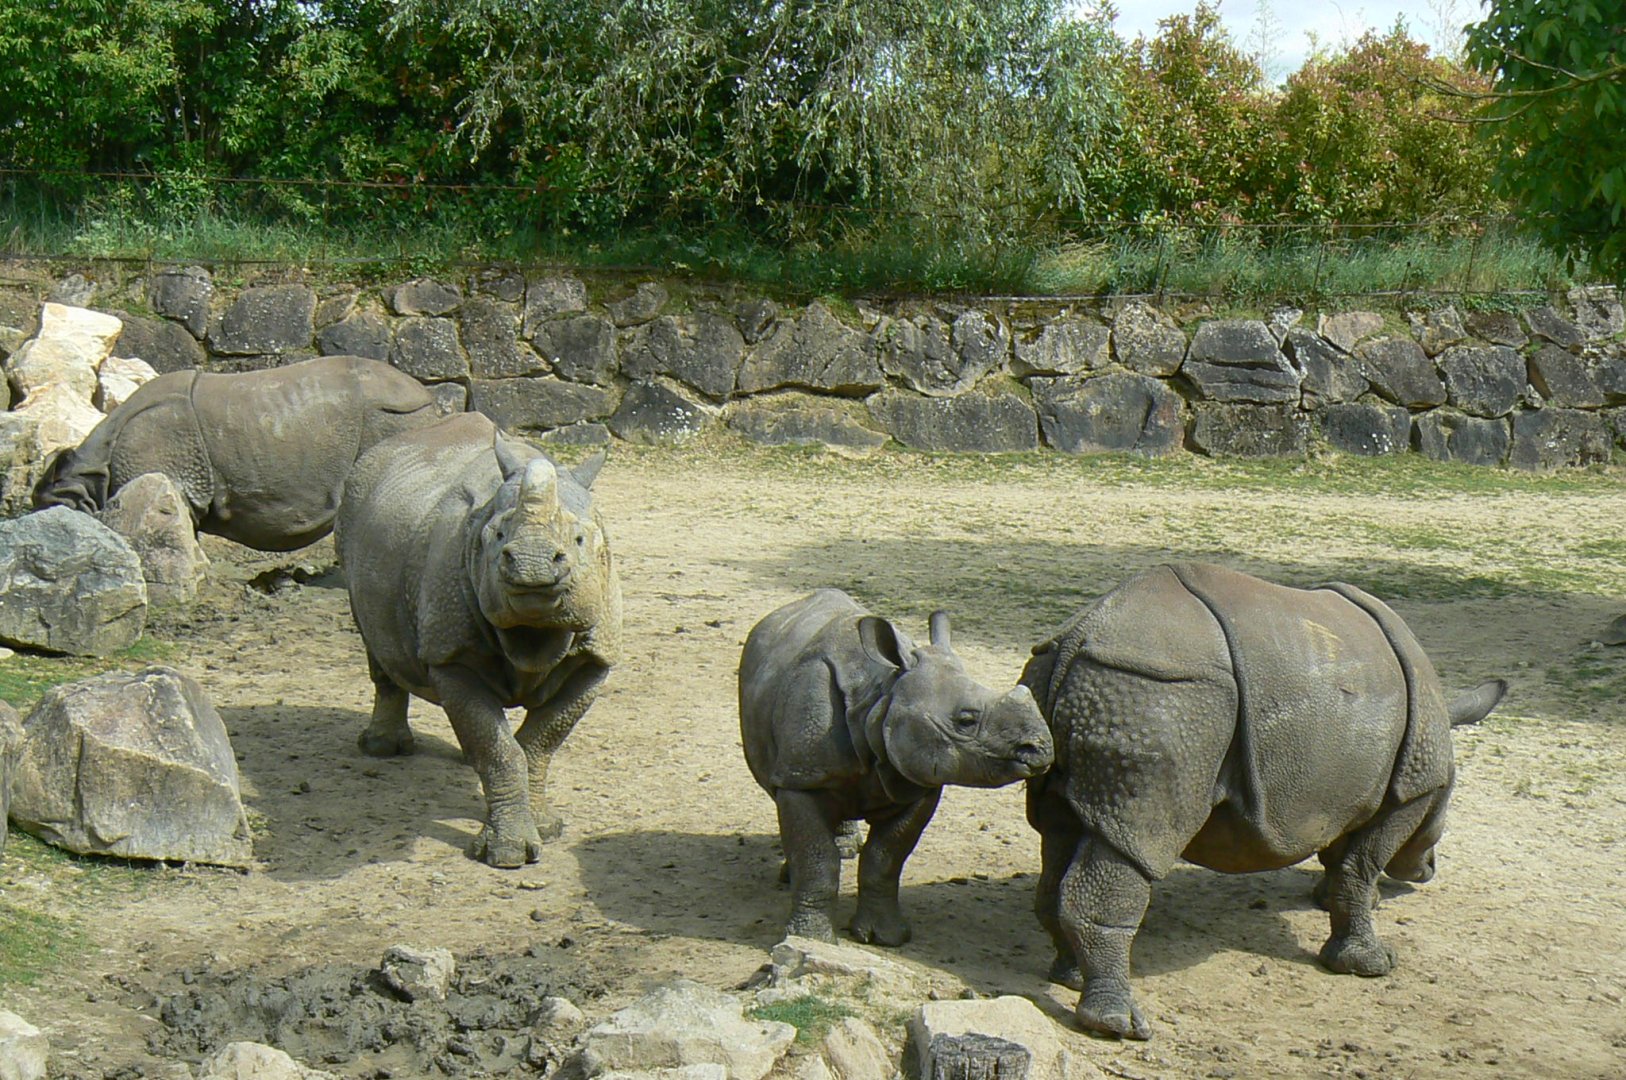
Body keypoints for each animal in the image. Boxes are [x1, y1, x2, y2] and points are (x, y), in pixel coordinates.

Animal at [336, 411, 621, 867]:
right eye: (497, 539)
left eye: (579, 541)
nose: (531, 565)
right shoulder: (451, 655)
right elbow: (500, 749)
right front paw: (507, 855)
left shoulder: (595, 660)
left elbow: (538, 744)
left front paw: (546, 828)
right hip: (352, 514)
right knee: (373, 639)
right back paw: (382, 748)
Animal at [740, 589, 1053, 945]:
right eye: (966, 720)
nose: (1041, 748)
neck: (881, 694)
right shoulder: (802, 776)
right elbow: (816, 858)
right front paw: (810, 939)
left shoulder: (917, 782)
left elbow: (885, 858)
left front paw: (885, 937)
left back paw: (845, 848)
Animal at [1020, 563, 1504, 1040]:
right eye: (1440, 823)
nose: (1427, 869)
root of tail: (1080, 636)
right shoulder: (1412, 789)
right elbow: (1362, 865)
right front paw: (1371, 965)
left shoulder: (1339, 791)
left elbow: (1342, 860)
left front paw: (1336, 902)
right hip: (1159, 692)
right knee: (1136, 839)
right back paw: (1121, 1024)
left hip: (1090, 683)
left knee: (1062, 830)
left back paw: (1070, 977)